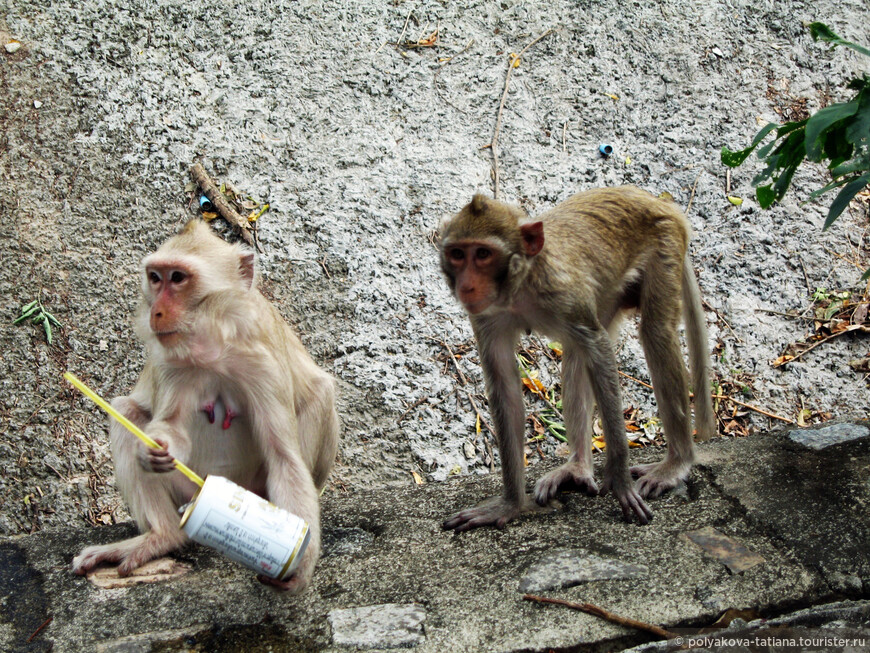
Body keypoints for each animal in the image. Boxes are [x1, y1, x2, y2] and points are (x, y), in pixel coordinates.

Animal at [73, 220, 338, 592]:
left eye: (178, 278)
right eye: (155, 277)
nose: (155, 311)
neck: (214, 348)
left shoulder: (263, 363)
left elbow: (283, 456)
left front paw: (300, 561)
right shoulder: (172, 363)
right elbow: (171, 429)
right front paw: (157, 448)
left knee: (320, 392)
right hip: (187, 489)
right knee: (126, 411)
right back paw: (162, 537)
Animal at [442, 185, 716, 528]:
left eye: (482, 254)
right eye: (457, 254)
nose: (466, 285)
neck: (521, 286)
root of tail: (656, 200)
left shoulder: (563, 293)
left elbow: (599, 350)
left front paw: (620, 481)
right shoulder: (487, 317)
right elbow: (505, 385)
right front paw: (509, 505)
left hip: (664, 244)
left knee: (655, 334)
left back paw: (676, 464)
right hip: (611, 291)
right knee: (575, 354)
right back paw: (578, 467)